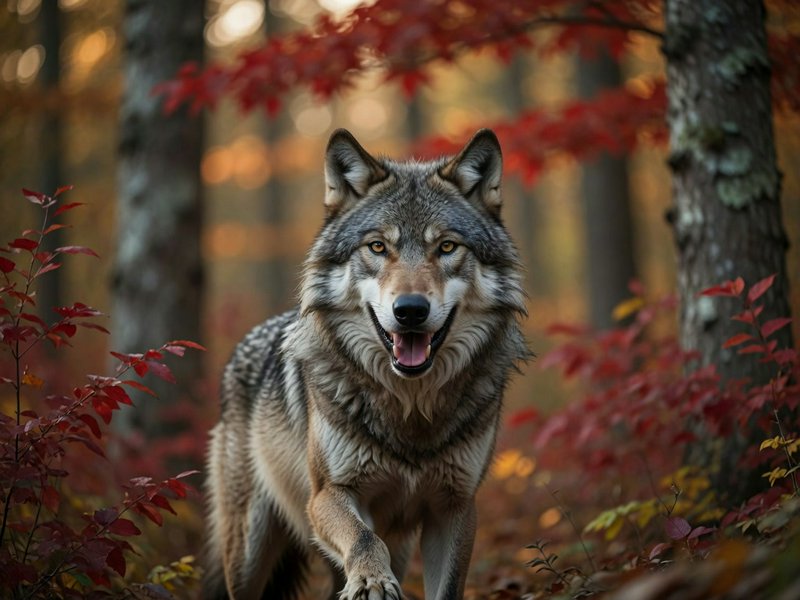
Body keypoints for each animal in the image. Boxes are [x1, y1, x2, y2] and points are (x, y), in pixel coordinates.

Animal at [204, 128, 528, 600]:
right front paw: (373, 581)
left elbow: (447, 587)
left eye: (447, 246)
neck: (410, 407)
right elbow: (363, 538)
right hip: (248, 551)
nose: (409, 310)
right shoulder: (328, 494)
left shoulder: (454, 508)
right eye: (377, 246)